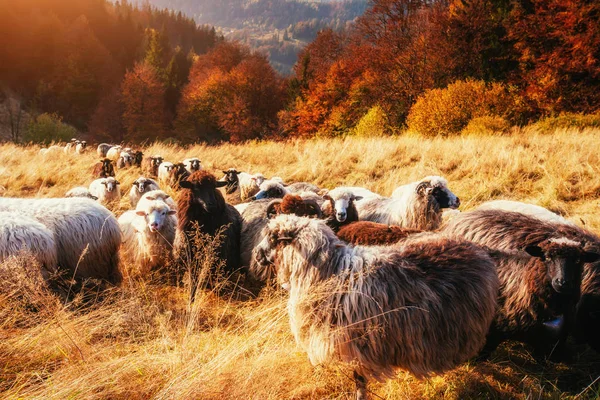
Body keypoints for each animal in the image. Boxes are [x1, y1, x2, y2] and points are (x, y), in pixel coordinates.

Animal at [173, 170, 241, 298]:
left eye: (214, 187)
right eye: (195, 187)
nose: (212, 204)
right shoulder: (190, 257)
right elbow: (193, 279)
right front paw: (192, 295)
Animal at [248, 214, 496, 398]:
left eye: (273, 238)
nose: (256, 255)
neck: (330, 273)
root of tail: (473, 247)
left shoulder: (355, 346)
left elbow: (359, 383)